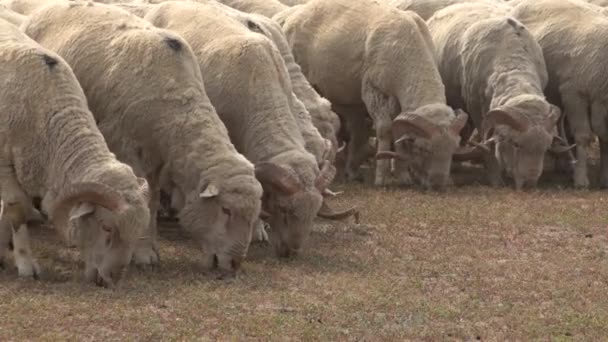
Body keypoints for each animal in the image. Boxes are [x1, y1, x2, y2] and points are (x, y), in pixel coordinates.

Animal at [0, 18, 151, 286]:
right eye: (106, 227)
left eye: (138, 233)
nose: (112, 280)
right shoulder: (4, 165)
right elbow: (16, 210)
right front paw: (26, 264)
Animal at [22, 0, 268, 272]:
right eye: (226, 210)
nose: (234, 264)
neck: (176, 102)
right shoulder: (125, 146)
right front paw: (141, 252)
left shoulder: (157, 158)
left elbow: (152, 199)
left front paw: (148, 249)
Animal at [276, 0, 470, 190]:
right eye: (423, 149)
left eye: (454, 148)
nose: (438, 184)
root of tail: (293, 16)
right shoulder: (373, 90)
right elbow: (385, 129)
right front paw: (382, 177)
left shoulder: (398, 100)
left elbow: (398, 134)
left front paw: (403, 176)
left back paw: (352, 171)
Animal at [426, 2, 572, 188]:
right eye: (516, 144)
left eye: (545, 148)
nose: (529, 183)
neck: (511, 59)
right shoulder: (476, 108)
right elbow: (487, 145)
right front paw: (495, 178)